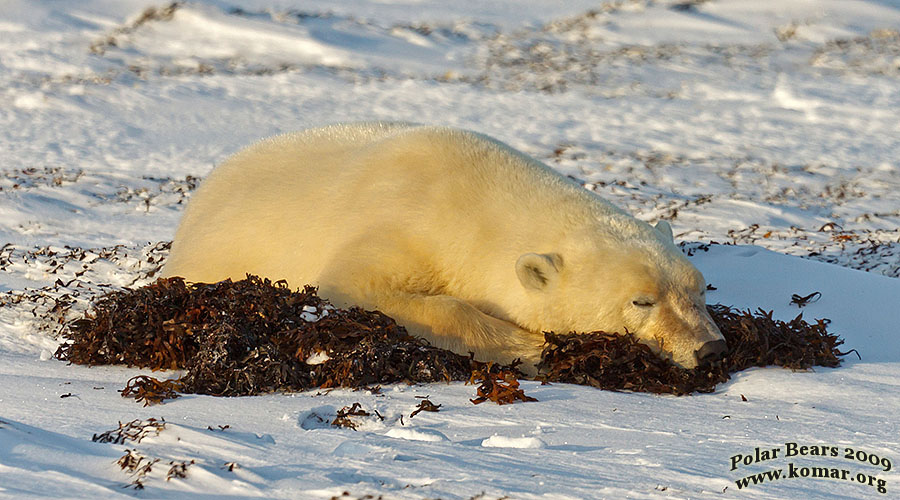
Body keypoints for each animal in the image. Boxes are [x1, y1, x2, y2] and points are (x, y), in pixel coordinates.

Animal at [165, 123, 728, 374]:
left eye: (699, 290)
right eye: (641, 300)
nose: (711, 348)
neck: (474, 205)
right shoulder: (403, 224)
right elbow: (356, 283)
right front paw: (533, 347)